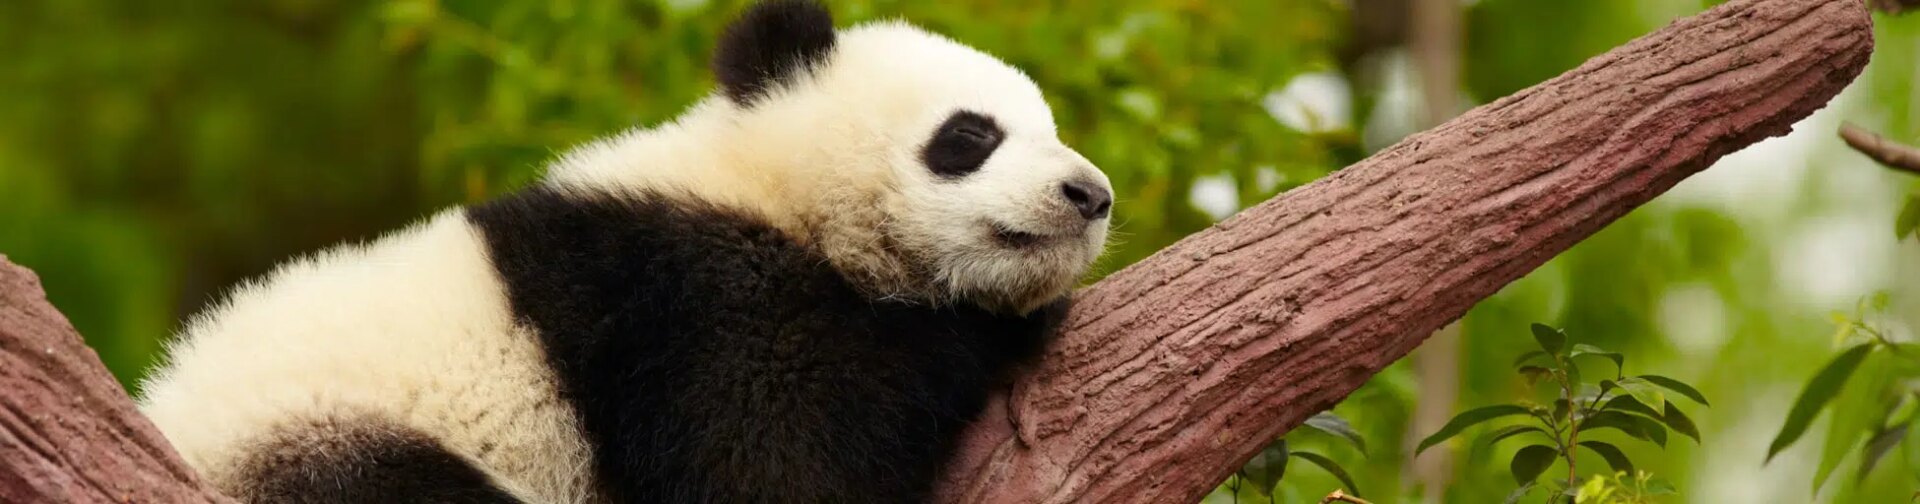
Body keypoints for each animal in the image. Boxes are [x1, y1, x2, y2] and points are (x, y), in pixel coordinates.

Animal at [135, 1, 1112, 503]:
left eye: (1055, 128)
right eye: (969, 136)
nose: (1091, 196)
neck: (765, 184)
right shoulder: (686, 300)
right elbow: (766, 462)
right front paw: (994, 326)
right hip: (325, 442)